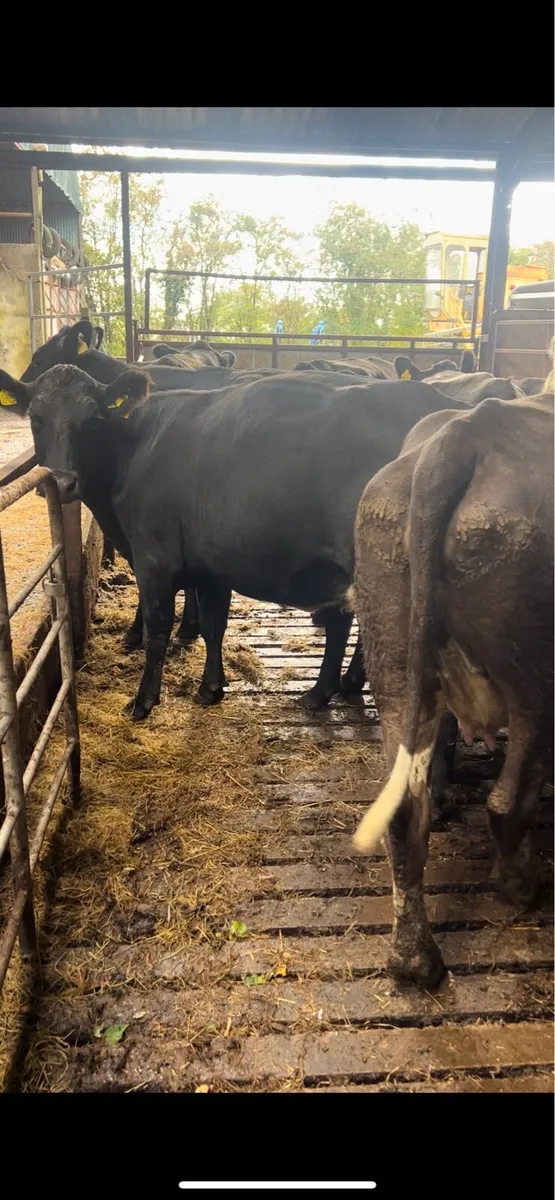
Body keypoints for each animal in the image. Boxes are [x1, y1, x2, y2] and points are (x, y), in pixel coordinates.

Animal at [0, 364, 472, 724]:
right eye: (36, 417)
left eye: (92, 419)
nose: (61, 482)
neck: (136, 446)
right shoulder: (211, 564)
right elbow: (214, 625)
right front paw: (211, 687)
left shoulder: (154, 559)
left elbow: (157, 629)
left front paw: (143, 700)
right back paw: (326, 690)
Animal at [350, 390, 553, 988]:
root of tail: (462, 437)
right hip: (537, 675)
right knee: (509, 798)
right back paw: (522, 886)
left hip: (393, 653)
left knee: (403, 810)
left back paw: (414, 960)